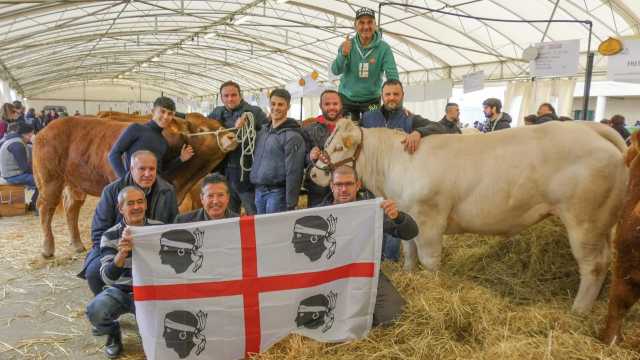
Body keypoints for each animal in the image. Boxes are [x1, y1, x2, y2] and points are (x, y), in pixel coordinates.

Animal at [32, 115, 238, 256]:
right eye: (202, 127)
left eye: (217, 122)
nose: (231, 136)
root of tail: (46, 129)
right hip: (50, 180)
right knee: (45, 208)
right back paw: (47, 248)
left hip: (75, 184)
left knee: (71, 208)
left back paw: (77, 244)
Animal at [312, 119, 628, 314]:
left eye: (338, 147)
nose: (314, 174)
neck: (397, 165)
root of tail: (589, 129)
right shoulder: (407, 213)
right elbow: (408, 250)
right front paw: (409, 275)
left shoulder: (430, 218)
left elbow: (429, 259)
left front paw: (434, 289)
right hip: (598, 223)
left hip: (584, 221)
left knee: (594, 265)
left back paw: (578, 310)